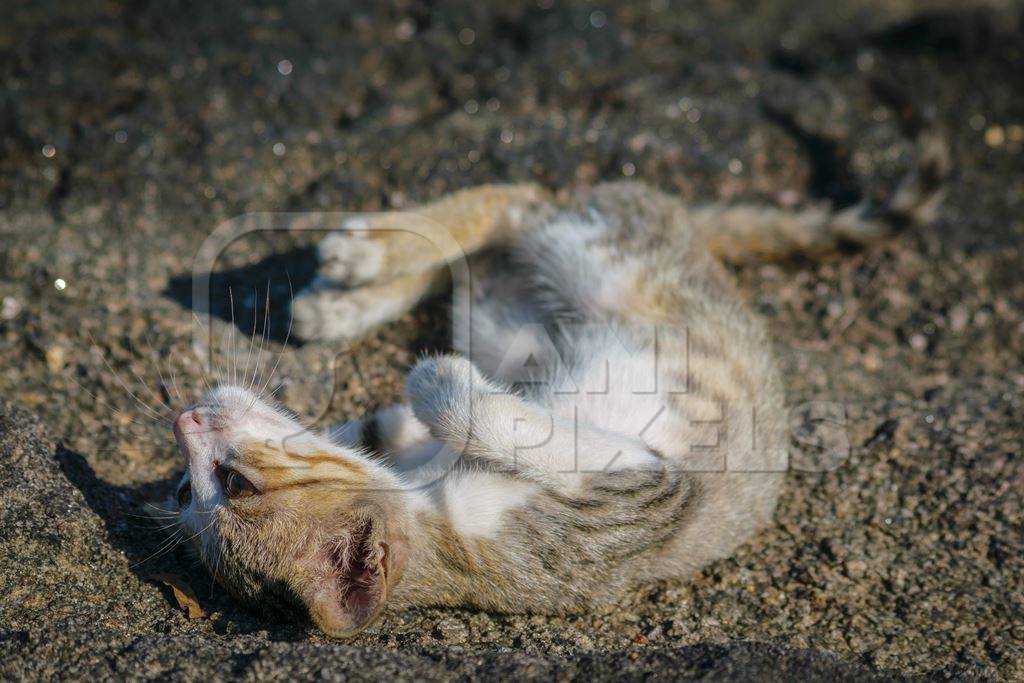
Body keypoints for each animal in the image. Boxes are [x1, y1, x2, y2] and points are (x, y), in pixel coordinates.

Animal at [169, 131, 950, 638]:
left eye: (232, 484)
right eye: (190, 494)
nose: (186, 419)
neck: (432, 497)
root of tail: (687, 230)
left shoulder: (644, 487)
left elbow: (453, 417)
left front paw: (430, 376)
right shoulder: (623, 491)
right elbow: (419, 420)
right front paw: (426, 387)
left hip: (592, 266)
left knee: (515, 204)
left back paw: (360, 261)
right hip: (503, 310)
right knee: (501, 232)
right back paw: (349, 297)